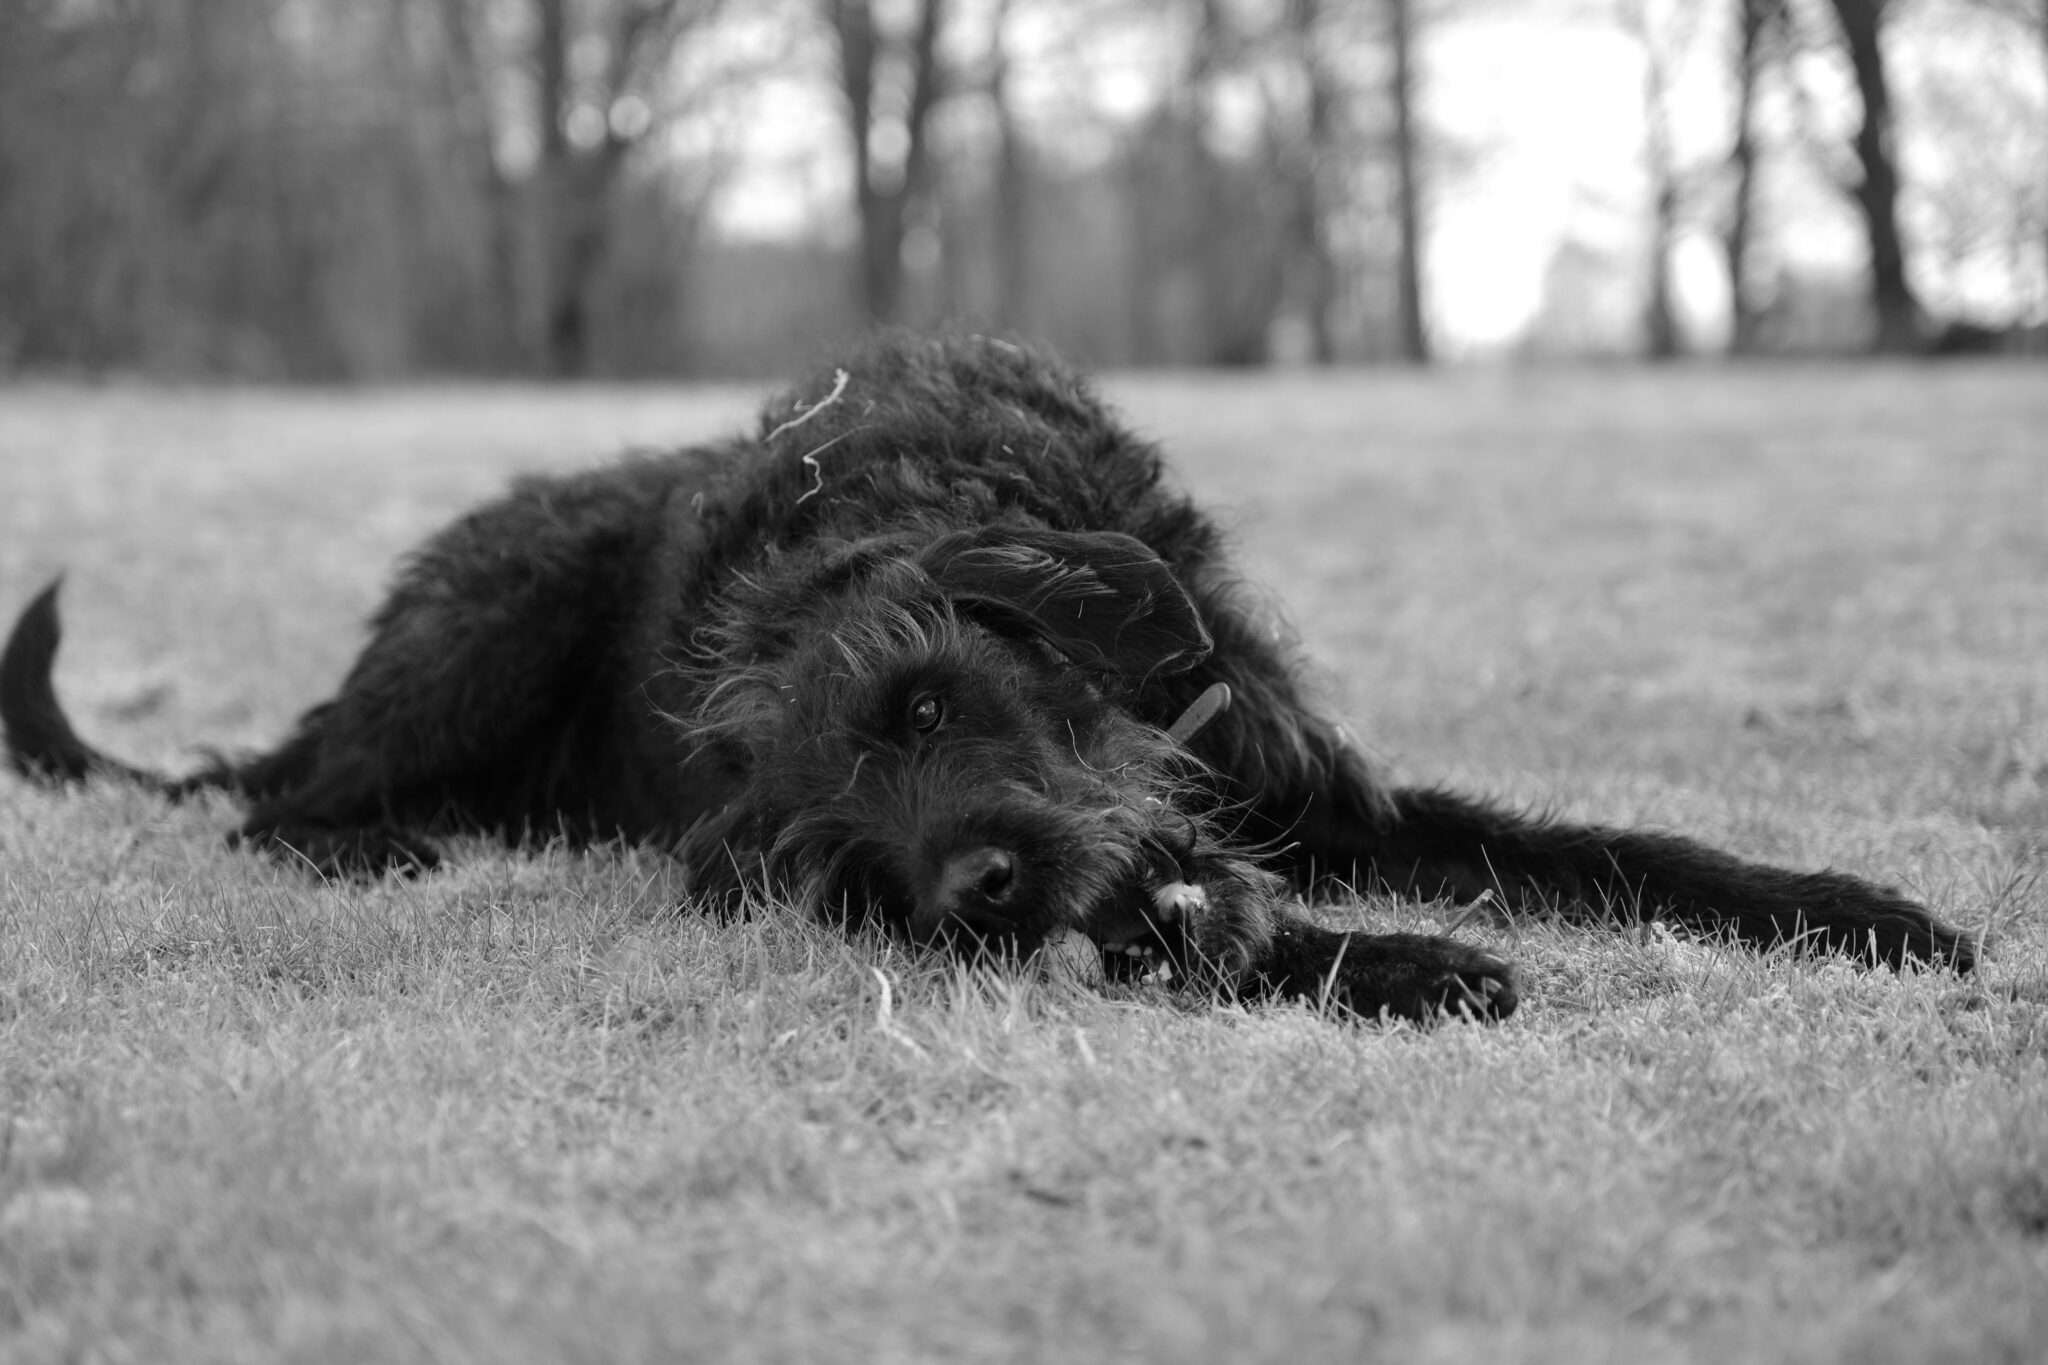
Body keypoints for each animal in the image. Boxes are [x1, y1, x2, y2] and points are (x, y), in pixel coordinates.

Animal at [4, 333, 1982, 1015]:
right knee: (282, 806)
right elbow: (1207, 934)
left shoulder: (1305, 780)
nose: (968, 887)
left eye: (928, 702)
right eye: (836, 865)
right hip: (477, 635)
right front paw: (1412, 963)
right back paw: (387, 841)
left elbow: (1620, 853)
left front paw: (1866, 913)